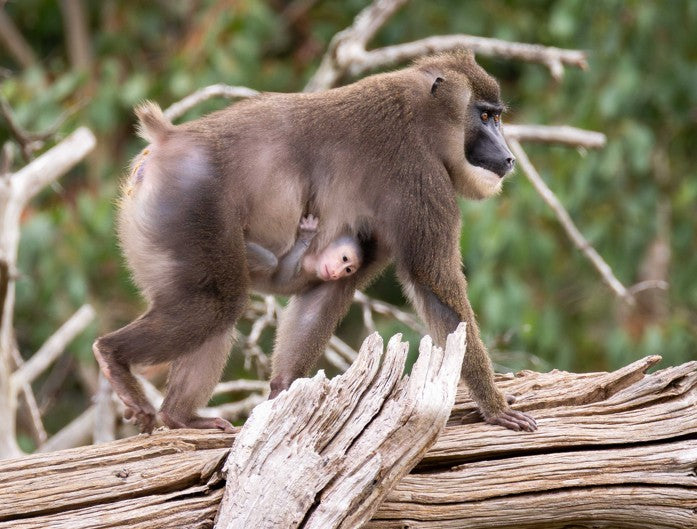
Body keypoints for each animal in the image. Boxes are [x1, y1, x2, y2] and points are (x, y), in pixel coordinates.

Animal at [93, 49, 537, 434]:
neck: (422, 114)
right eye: (485, 116)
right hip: (190, 207)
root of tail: (168, 140)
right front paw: (495, 408)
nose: (508, 157)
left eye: (497, 117)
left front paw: (282, 390)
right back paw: (113, 358)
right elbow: (436, 289)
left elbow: (329, 289)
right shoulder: (420, 179)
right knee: (216, 303)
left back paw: (179, 417)